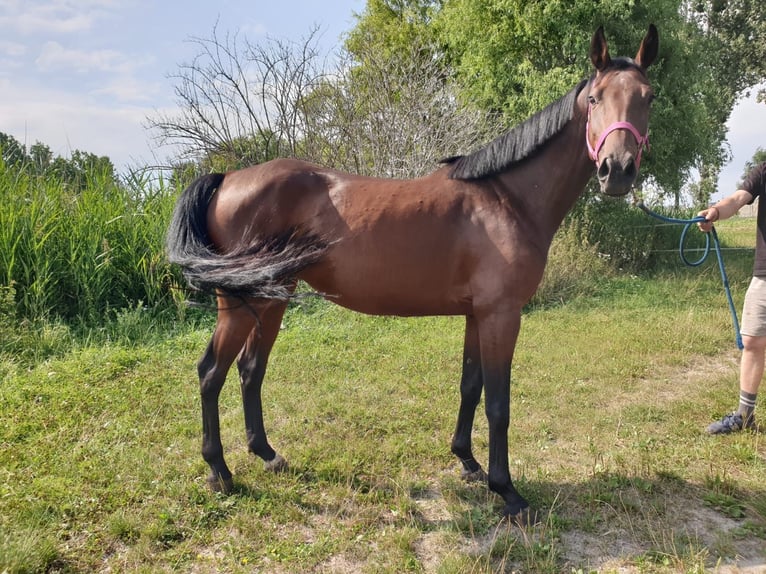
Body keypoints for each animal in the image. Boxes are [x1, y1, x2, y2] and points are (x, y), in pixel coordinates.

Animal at [168, 24, 660, 524]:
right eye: (595, 98)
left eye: (649, 97)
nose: (617, 170)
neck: (507, 200)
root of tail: (226, 178)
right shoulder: (502, 315)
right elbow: (498, 404)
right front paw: (508, 492)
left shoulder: (477, 315)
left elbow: (470, 387)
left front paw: (468, 462)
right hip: (240, 303)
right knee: (211, 372)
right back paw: (219, 472)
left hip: (272, 296)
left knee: (250, 369)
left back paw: (267, 455)